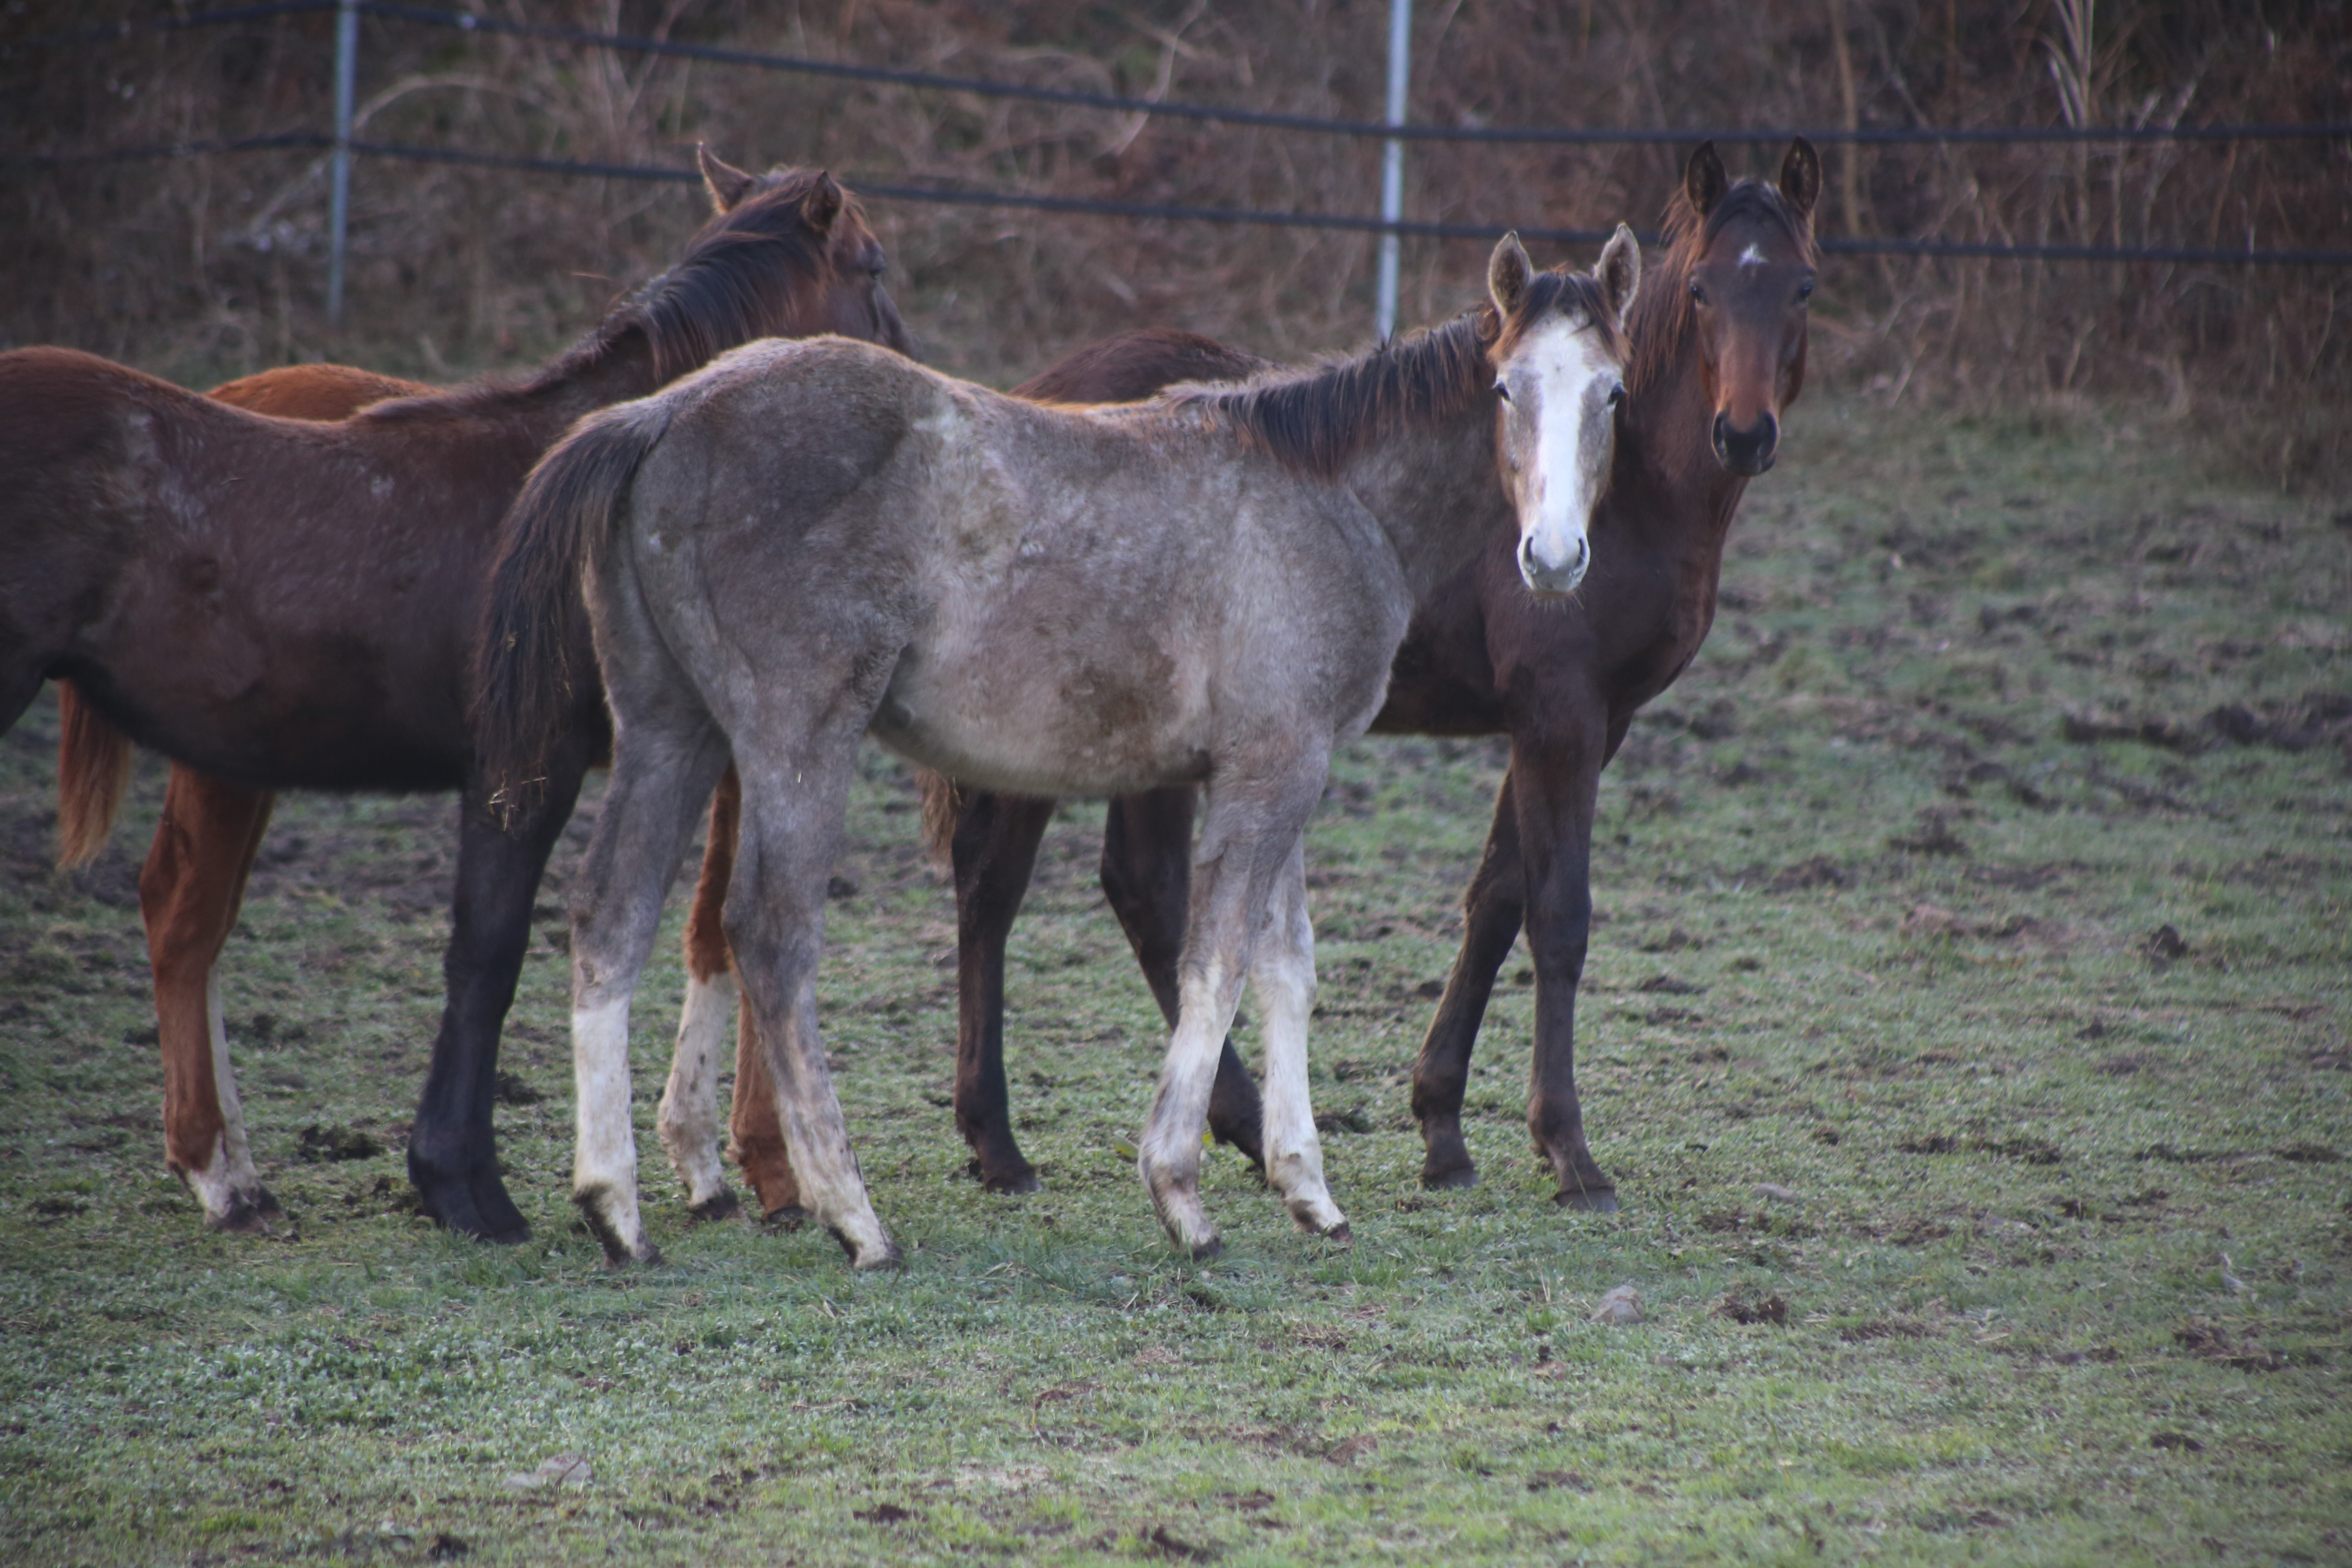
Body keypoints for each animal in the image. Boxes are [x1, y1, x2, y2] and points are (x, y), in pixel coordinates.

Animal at [4, 156, 908, 1241]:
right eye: (873, 266)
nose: (919, 384)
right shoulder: (523, 766)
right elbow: (488, 954)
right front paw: (466, 1185)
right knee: (189, 920)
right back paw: (222, 1173)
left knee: (190, 916)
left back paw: (231, 1170)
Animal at [480, 230, 1646, 1260]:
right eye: (1506, 390)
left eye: (1611, 394)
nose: (1553, 558)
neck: (1327, 492)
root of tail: (665, 410)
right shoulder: (1272, 771)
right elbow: (1217, 958)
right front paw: (1181, 1195)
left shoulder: (1281, 765)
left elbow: (1286, 966)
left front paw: (1309, 1192)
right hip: (794, 737)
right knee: (767, 931)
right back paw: (853, 1219)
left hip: (670, 729)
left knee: (612, 914)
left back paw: (617, 1209)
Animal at [701, 138, 1815, 1213]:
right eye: (1703, 287)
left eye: (1801, 287)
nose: (1744, 433)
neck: (1634, 503)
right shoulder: (1559, 716)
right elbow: (1557, 914)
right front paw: (1568, 1153)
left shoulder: (1583, 722)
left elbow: (1494, 896)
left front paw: (1442, 1129)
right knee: (1044, 883)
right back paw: (1045, 1138)